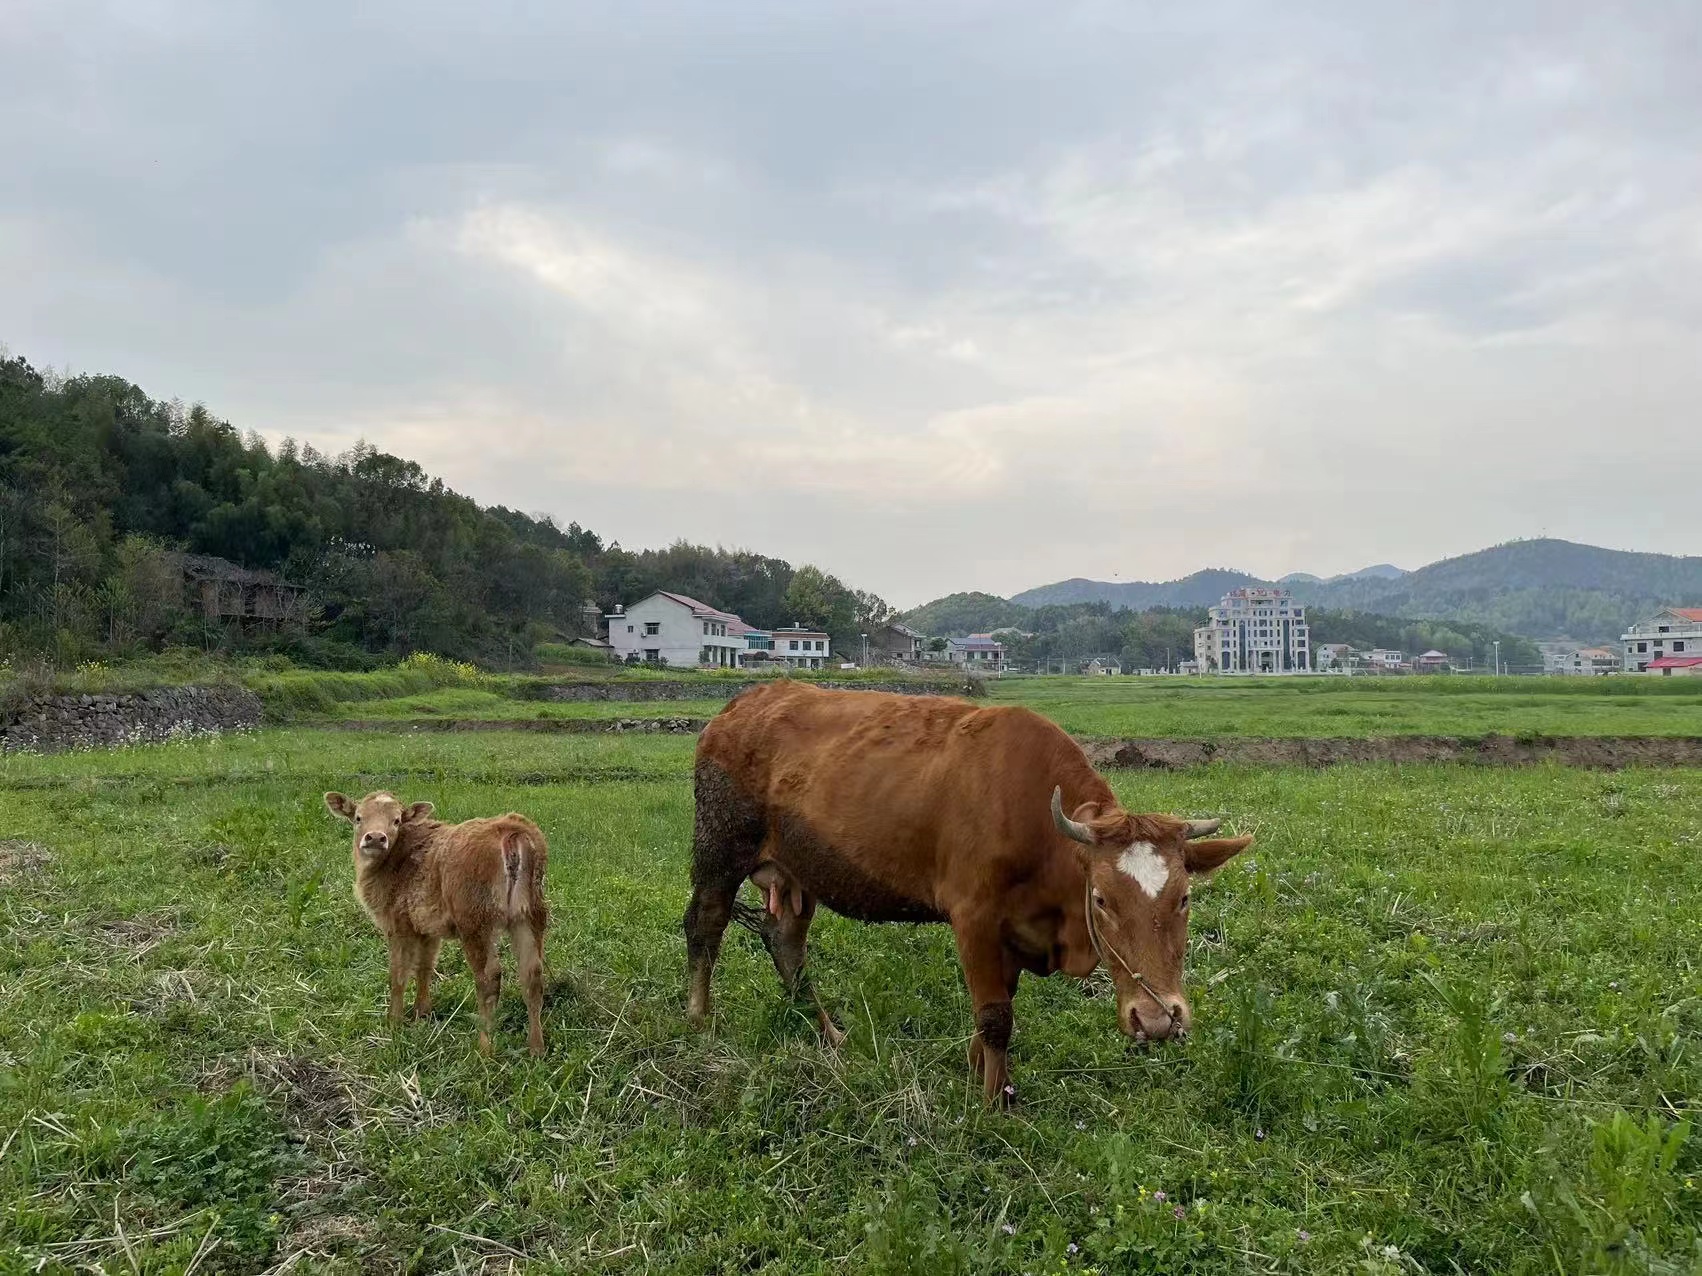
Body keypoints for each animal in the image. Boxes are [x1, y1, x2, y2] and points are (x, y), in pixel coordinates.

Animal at [325, 789, 551, 1061]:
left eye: (396, 820)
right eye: (358, 817)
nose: (376, 838)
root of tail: (510, 831)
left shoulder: (398, 924)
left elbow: (398, 974)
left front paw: (394, 1022)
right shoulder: (428, 929)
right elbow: (425, 967)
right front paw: (422, 1012)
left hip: (474, 919)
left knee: (489, 977)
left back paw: (484, 1049)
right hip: (529, 914)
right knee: (532, 974)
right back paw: (536, 1049)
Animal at [680, 683, 1252, 1102]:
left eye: (1184, 898)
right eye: (1102, 900)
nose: (1156, 1020)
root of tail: (741, 705)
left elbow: (1001, 1002)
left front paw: (978, 1068)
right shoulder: (974, 917)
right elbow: (996, 1016)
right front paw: (995, 1102)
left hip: (802, 870)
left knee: (786, 942)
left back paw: (829, 1034)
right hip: (719, 848)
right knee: (705, 925)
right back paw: (699, 1019)